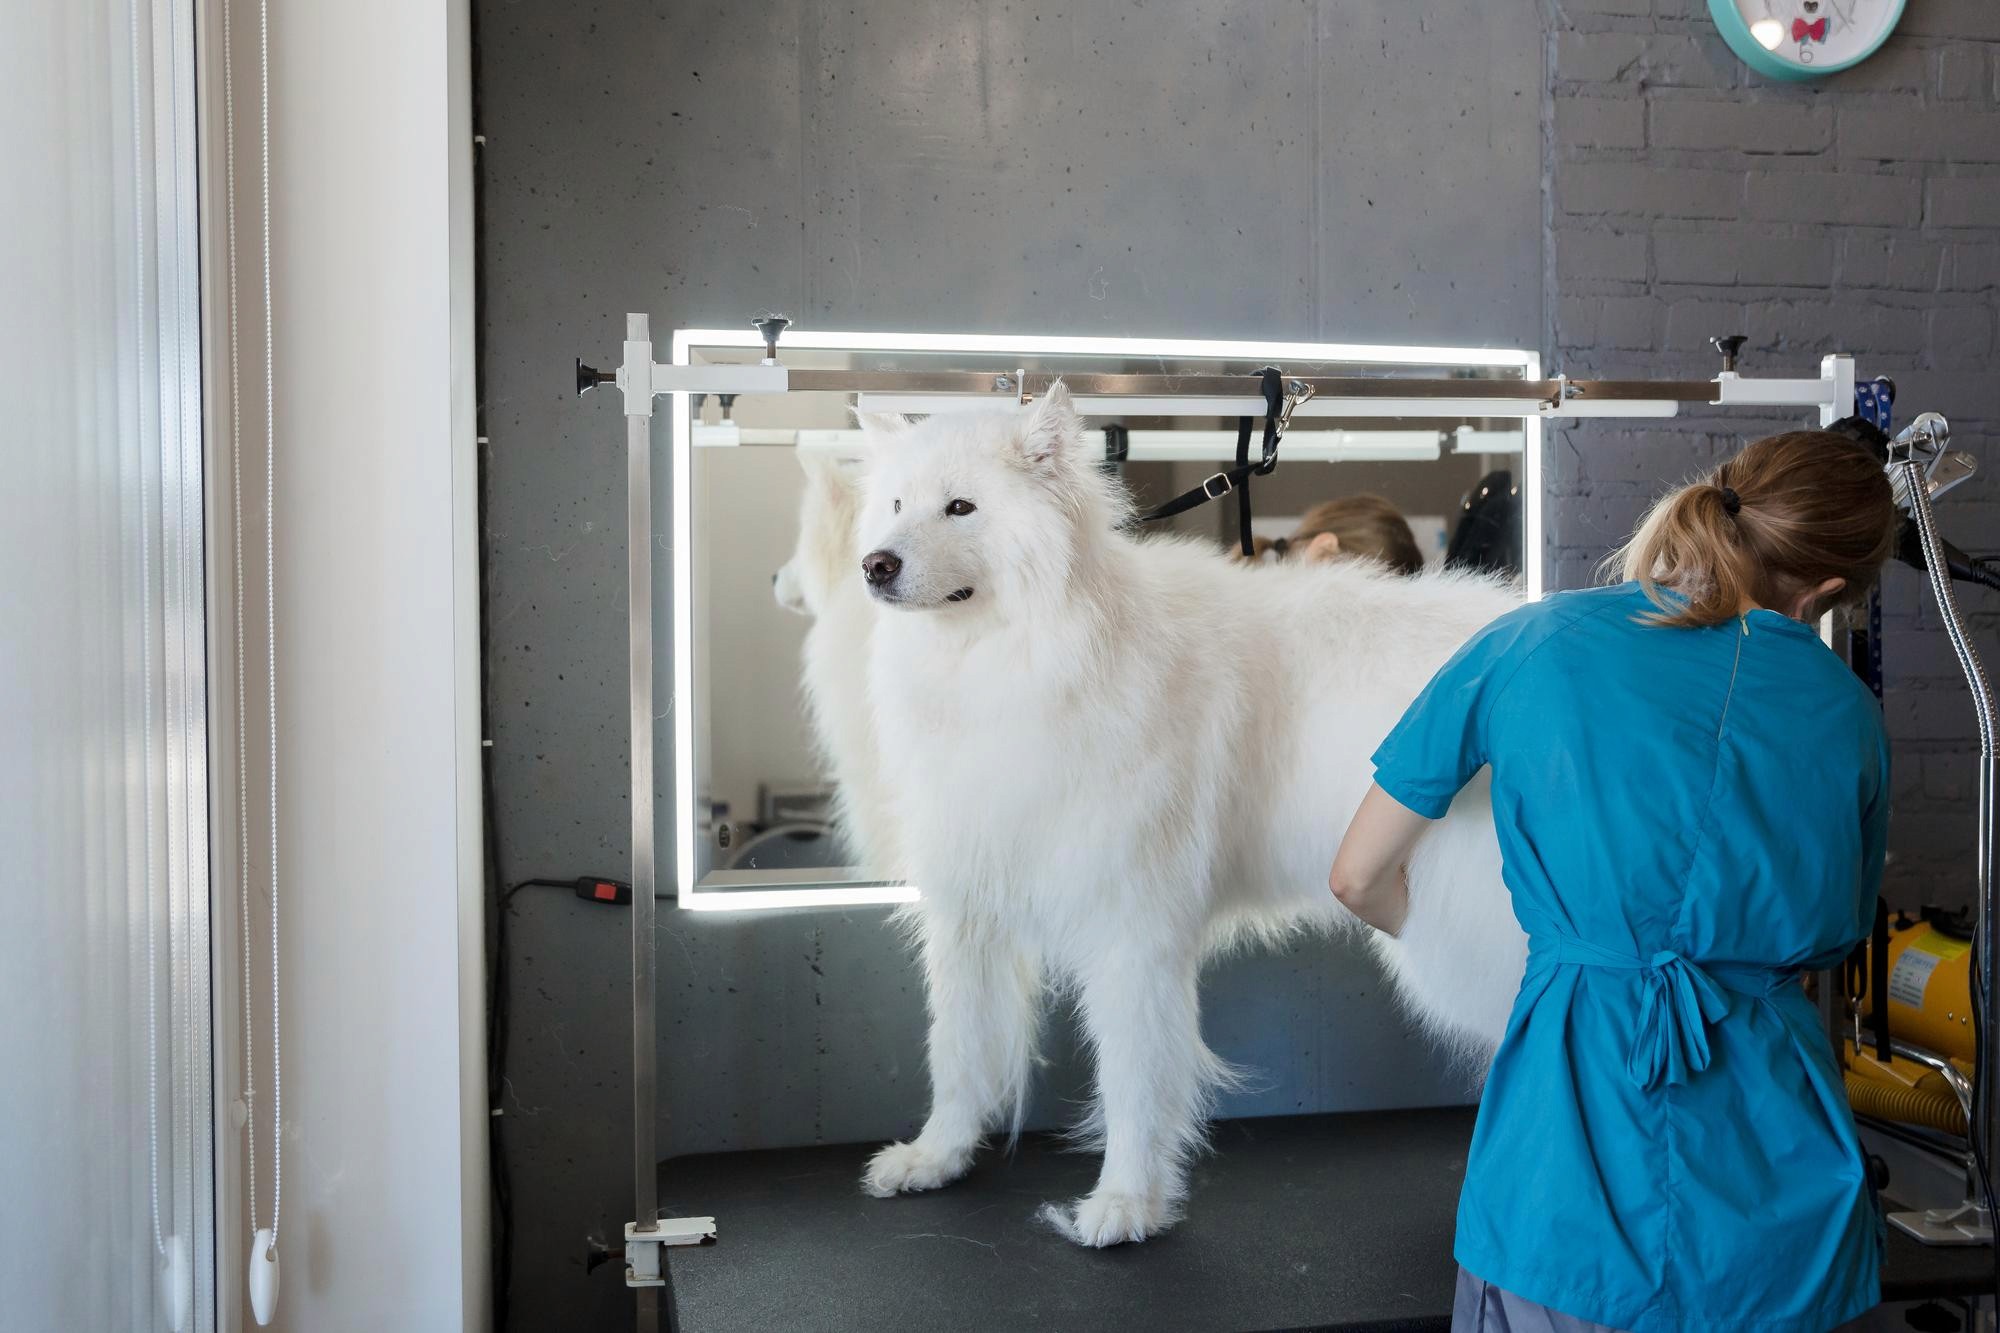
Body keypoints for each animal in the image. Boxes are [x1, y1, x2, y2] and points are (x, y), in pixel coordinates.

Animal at [772, 386, 1520, 1248]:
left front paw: (1126, 1201)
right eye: (895, 506)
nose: (877, 565)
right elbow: (958, 1048)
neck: (1020, 659)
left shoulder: (1130, 925)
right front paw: (938, 1156)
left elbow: (1132, 1073)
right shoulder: (971, 906)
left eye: (961, 507)